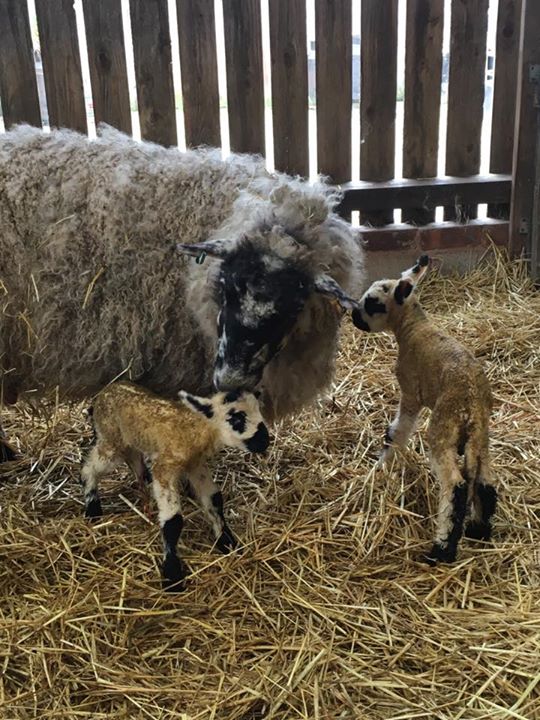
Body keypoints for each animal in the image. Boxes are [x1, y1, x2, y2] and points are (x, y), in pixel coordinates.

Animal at [81, 381, 270, 591]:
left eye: (258, 409)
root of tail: (105, 391)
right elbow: (173, 521)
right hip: (112, 439)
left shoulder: (196, 465)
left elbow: (214, 500)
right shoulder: (165, 468)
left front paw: (227, 542)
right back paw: (92, 508)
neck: (194, 427)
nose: (265, 441)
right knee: (90, 468)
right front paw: (172, 576)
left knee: (136, 465)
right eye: (236, 418)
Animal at [351, 256, 496, 565]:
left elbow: (396, 432)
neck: (414, 328)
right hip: (480, 436)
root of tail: (471, 406)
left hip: (443, 428)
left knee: (455, 486)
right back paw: (479, 530)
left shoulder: (410, 393)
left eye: (372, 302)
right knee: (484, 481)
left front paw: (383, 464)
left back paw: (442, 549)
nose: (354, 317)